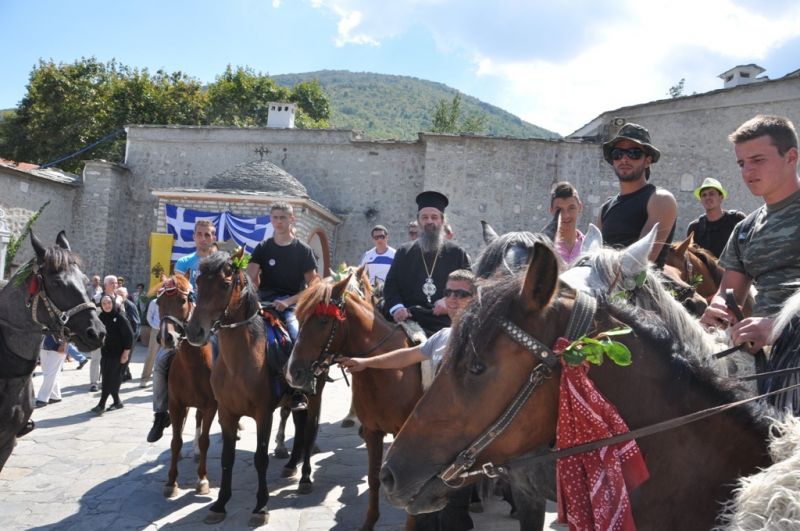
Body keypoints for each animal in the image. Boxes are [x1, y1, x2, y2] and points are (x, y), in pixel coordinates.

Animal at [151, 272, 216, 500]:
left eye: (182, 300)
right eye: (159, 302)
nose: (166, 337)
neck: (192, 363)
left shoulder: (211, 405)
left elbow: (205, 441)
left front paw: (202, 480)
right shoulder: (176, 404)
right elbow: (176, 441)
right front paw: (171, 482)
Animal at [185, 251, 316, 524]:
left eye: (225, 285)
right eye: (198, 282)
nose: (194, 331)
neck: (239, 363)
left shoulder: (263, 414)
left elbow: (260, 458)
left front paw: (260, 507)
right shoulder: (226, 413)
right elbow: (227, 458)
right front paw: (219, 504)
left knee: (309, 431)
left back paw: (305, 477)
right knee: (299, 426)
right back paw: (291, 465)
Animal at [290, 270, 424, 531]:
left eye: (323, 321)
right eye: (299, 318)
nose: (293, 373)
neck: (386, 367)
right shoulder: (373, 431)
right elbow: (373, 478)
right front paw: (369, 522)